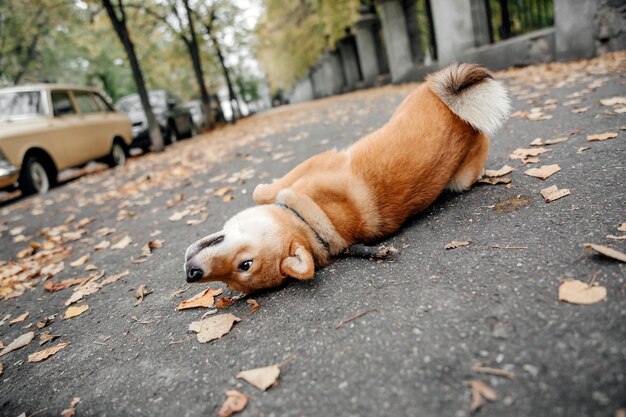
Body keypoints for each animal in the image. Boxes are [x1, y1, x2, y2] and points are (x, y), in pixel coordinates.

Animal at [182, 64, 508, 292]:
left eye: (245, 265)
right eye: (230, 283)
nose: (191, 274)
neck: (313, 222)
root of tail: (463, 116)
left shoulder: (315, 164)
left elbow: (263, 192)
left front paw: (263, 188)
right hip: (459, 180)